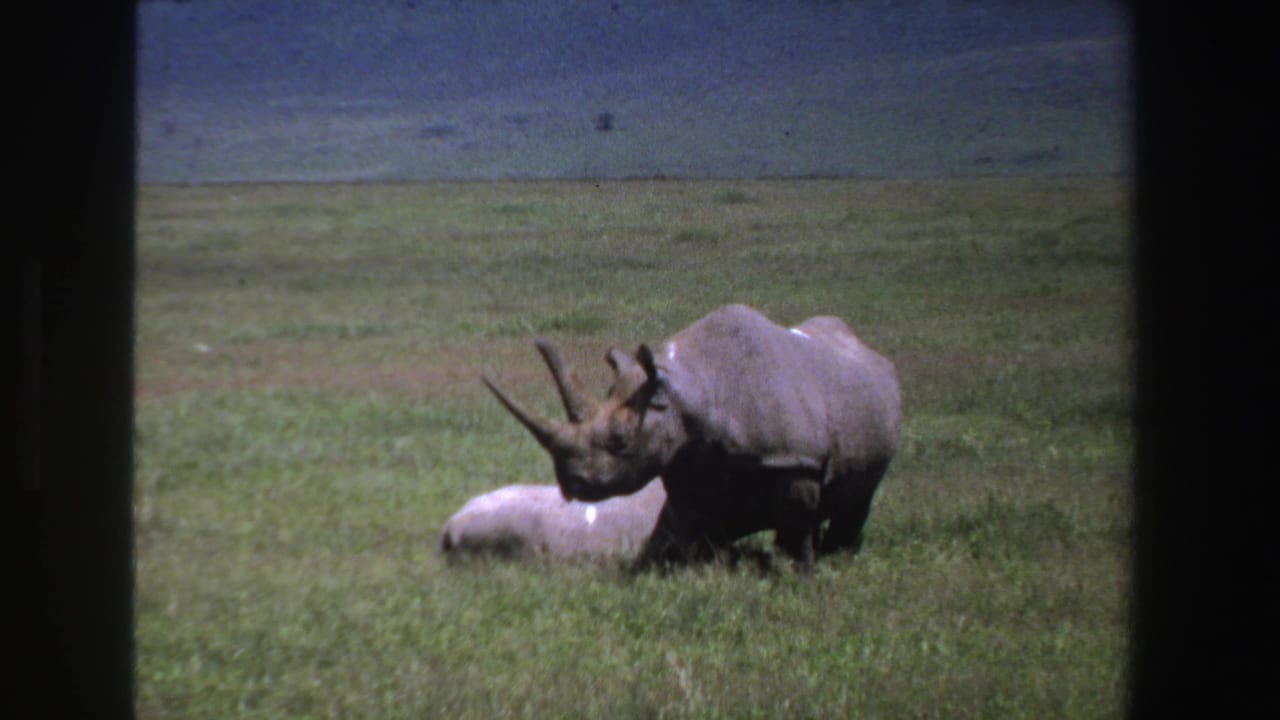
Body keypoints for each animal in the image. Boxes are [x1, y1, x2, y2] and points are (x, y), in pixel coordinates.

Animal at [482, 304, 901, 568]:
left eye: (620, 441)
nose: (571, 484)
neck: (689, 391)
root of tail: (866, 348)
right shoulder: (686, 463)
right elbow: (677, 530)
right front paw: (672, 569)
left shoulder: (794, 459)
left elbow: (795, 527)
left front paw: (800, 575)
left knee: (859, 495)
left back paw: (837, 556)